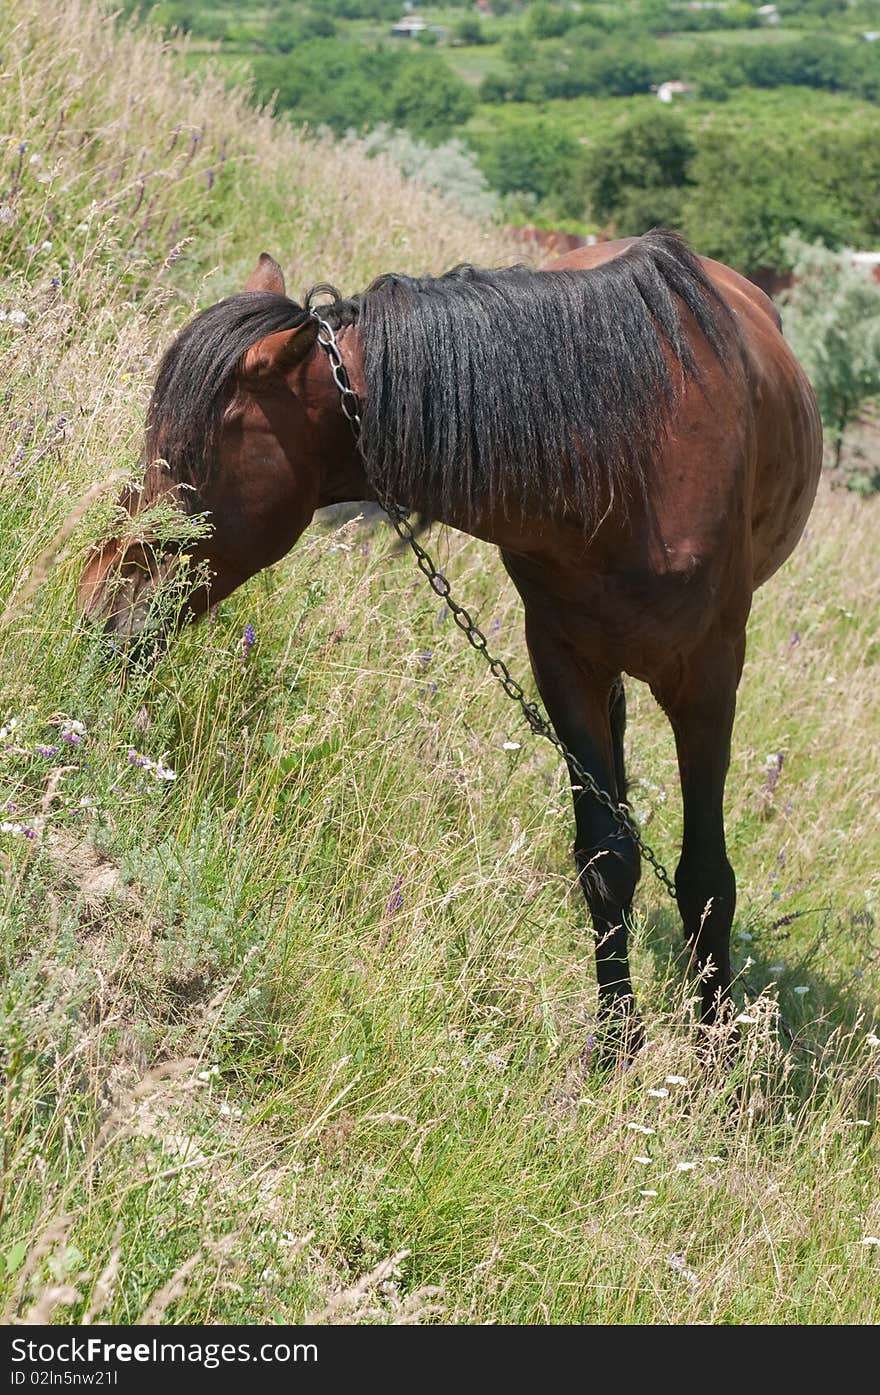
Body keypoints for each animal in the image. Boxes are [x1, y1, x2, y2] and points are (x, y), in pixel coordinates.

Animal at [79, 234, 825, 1049]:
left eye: (189, 465)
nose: (95, 603)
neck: (626, 454)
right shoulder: (562, 659)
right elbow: (606, 854)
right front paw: (616, 1048)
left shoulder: (710, 680)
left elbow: (706, 879)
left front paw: (718, 1053)